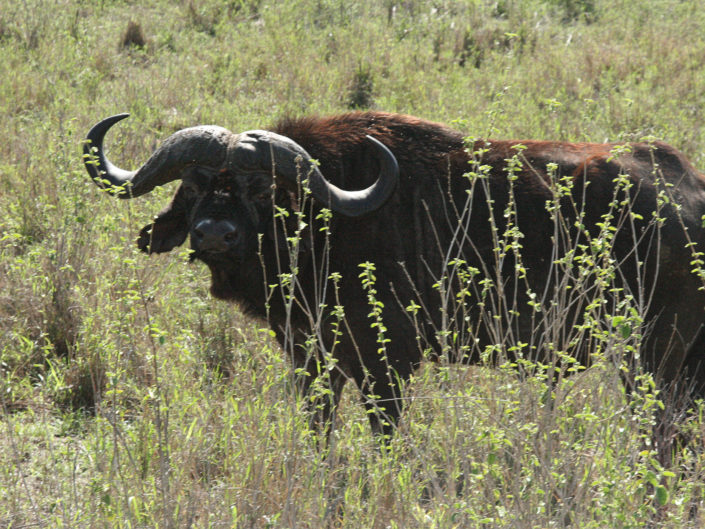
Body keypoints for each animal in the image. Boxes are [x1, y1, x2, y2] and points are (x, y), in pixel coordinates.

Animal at [83, 111, 705, 439]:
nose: (214, 233)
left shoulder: (388, 368)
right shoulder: (312, 360)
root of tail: (689, 192)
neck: (330, 226)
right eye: (192, 186)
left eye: (261, 189)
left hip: (655, 356)